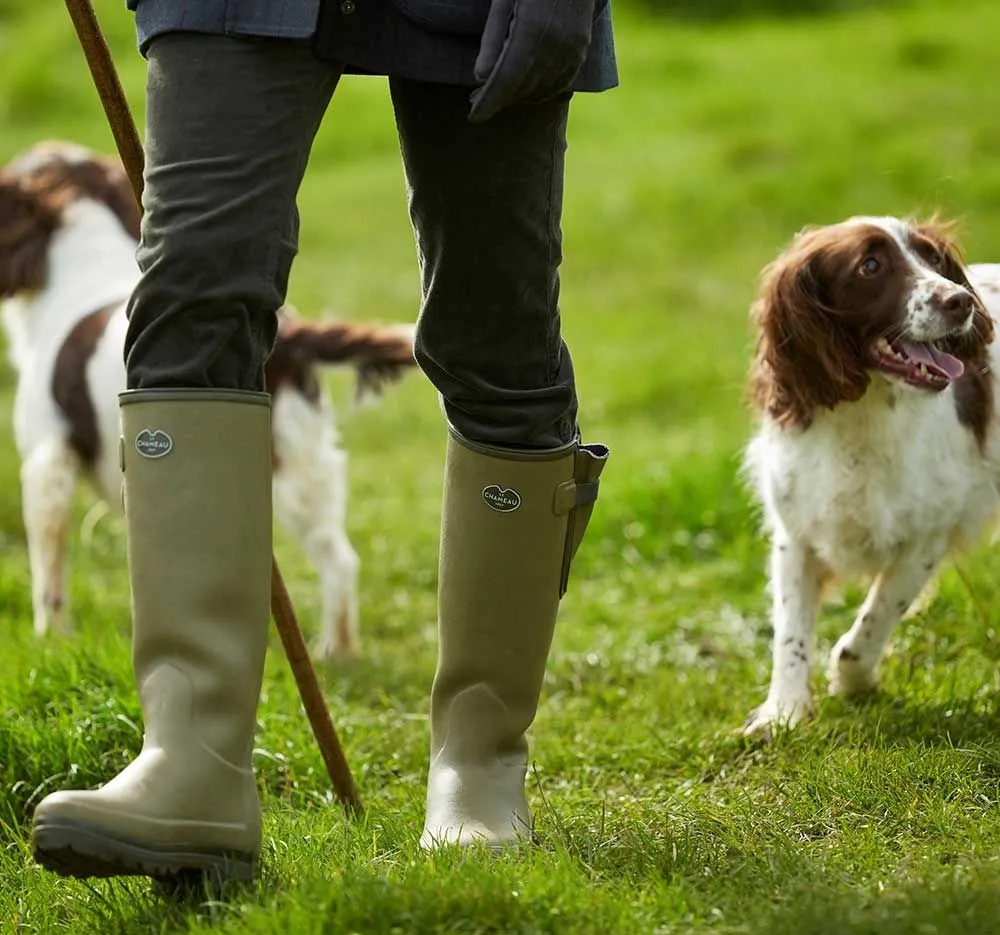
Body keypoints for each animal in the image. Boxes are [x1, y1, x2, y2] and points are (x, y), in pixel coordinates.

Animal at [0, 143, 414, 660]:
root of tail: (288, 334)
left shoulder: (46, 462)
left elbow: (48, 572)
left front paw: (50, 641)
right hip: (304, 463)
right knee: (339, 559)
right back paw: (335, 655)